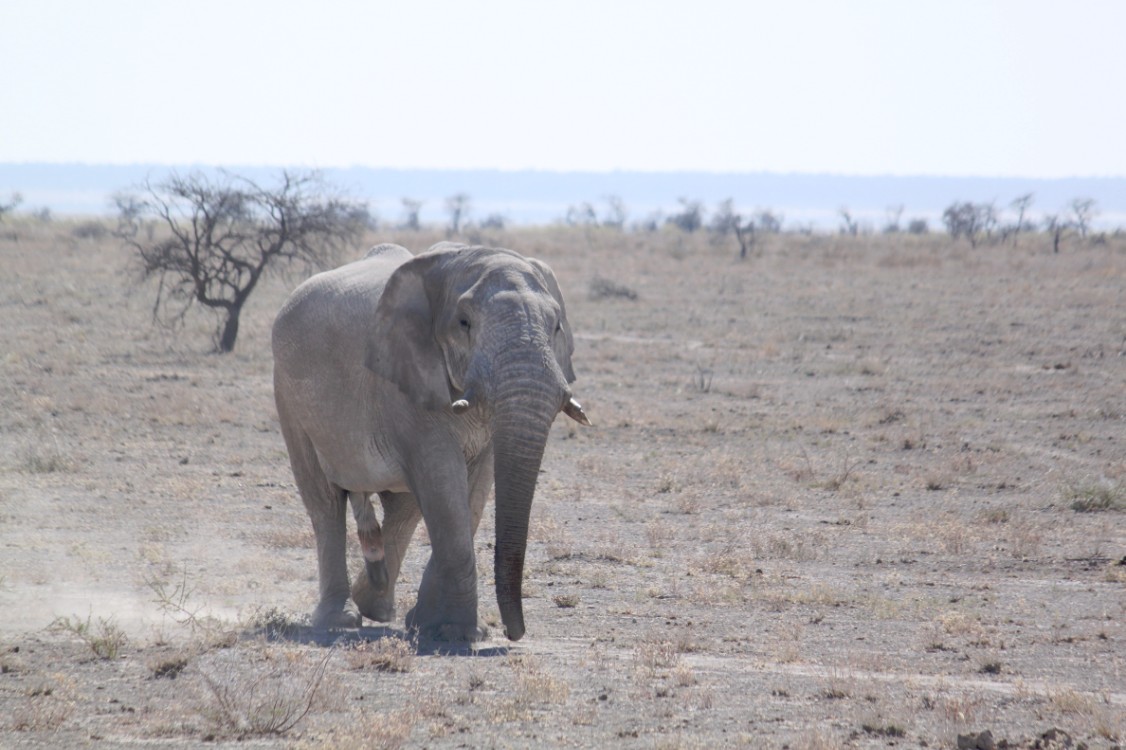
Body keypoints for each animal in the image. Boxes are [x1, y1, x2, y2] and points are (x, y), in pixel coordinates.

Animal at [271, 242, 590, 639]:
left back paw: (376, 606)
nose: (513, 632)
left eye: (556, 325)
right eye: (464, 323)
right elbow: (444, 483)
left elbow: (473, 491)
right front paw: (454, 633)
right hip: (288, 393)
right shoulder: (406, 382)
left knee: (405, 507)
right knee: (324, 502)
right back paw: (338, 620)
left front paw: (439, 627)